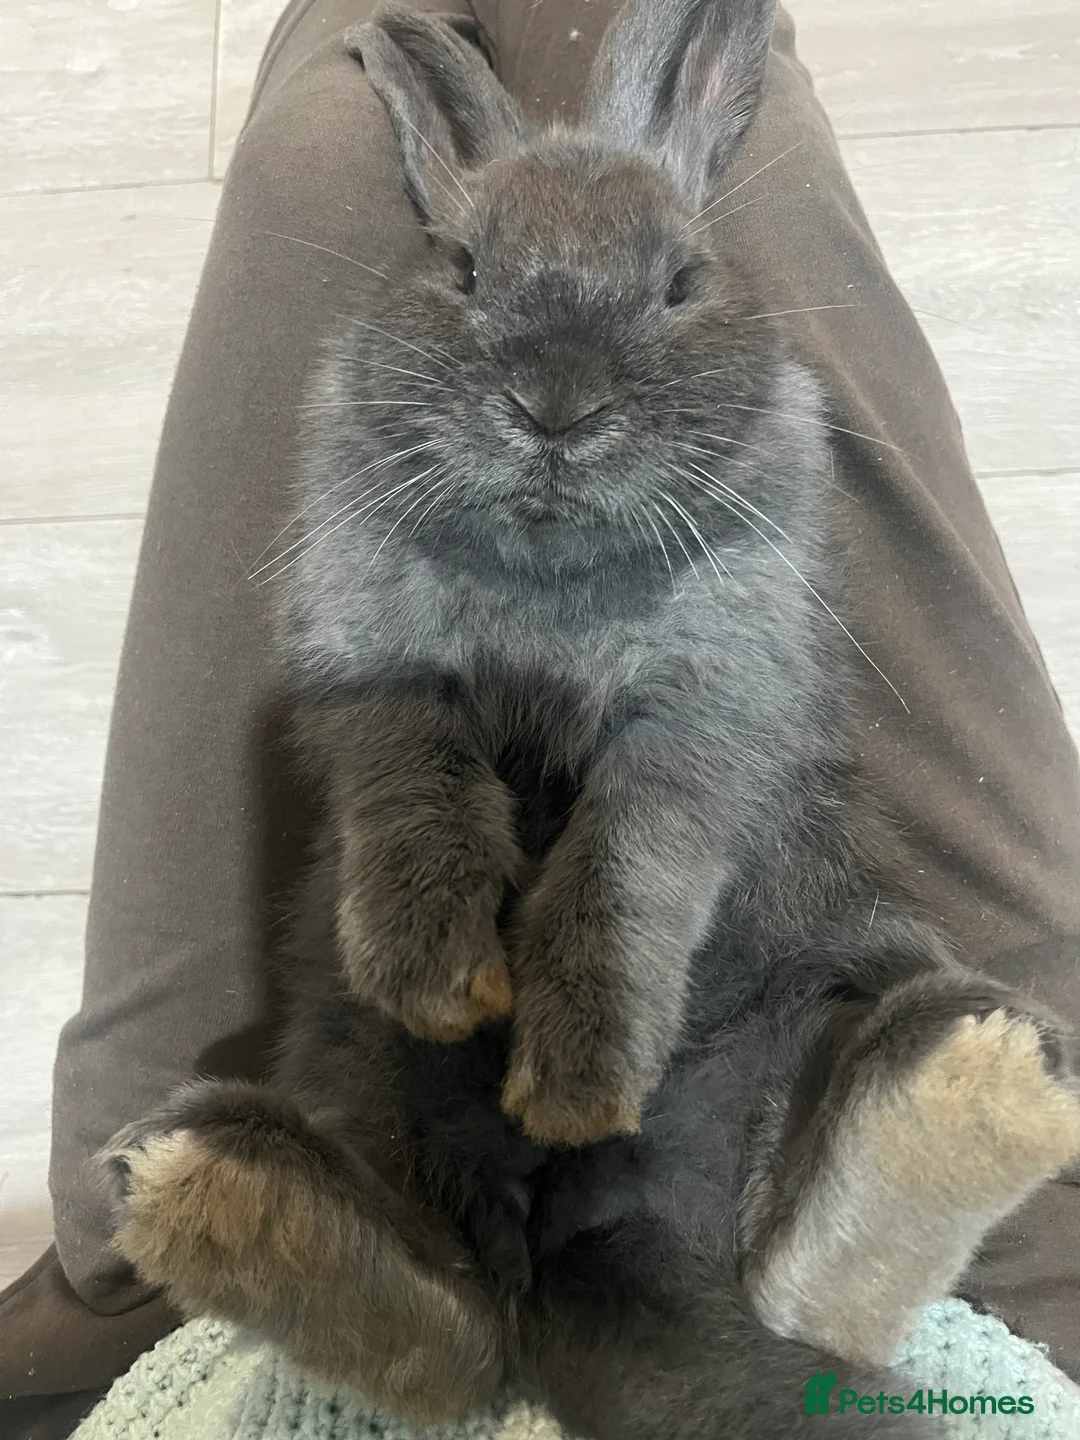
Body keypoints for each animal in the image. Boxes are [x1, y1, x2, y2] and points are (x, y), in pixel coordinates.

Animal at [105, 0, 1080, 1435]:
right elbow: (413, 781)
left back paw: (978, 1065)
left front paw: (572, 1079)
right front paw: (436, 976)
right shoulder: (372, 655)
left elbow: (623, 871)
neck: (550, 571)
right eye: (460, 267)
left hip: (826, 980)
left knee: (797, 1258)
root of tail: (573, 1263)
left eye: (682, 283)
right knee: (443, 1318)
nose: (555, 407)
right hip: (354, 1080)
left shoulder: (708, 703)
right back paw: (203, 1181)